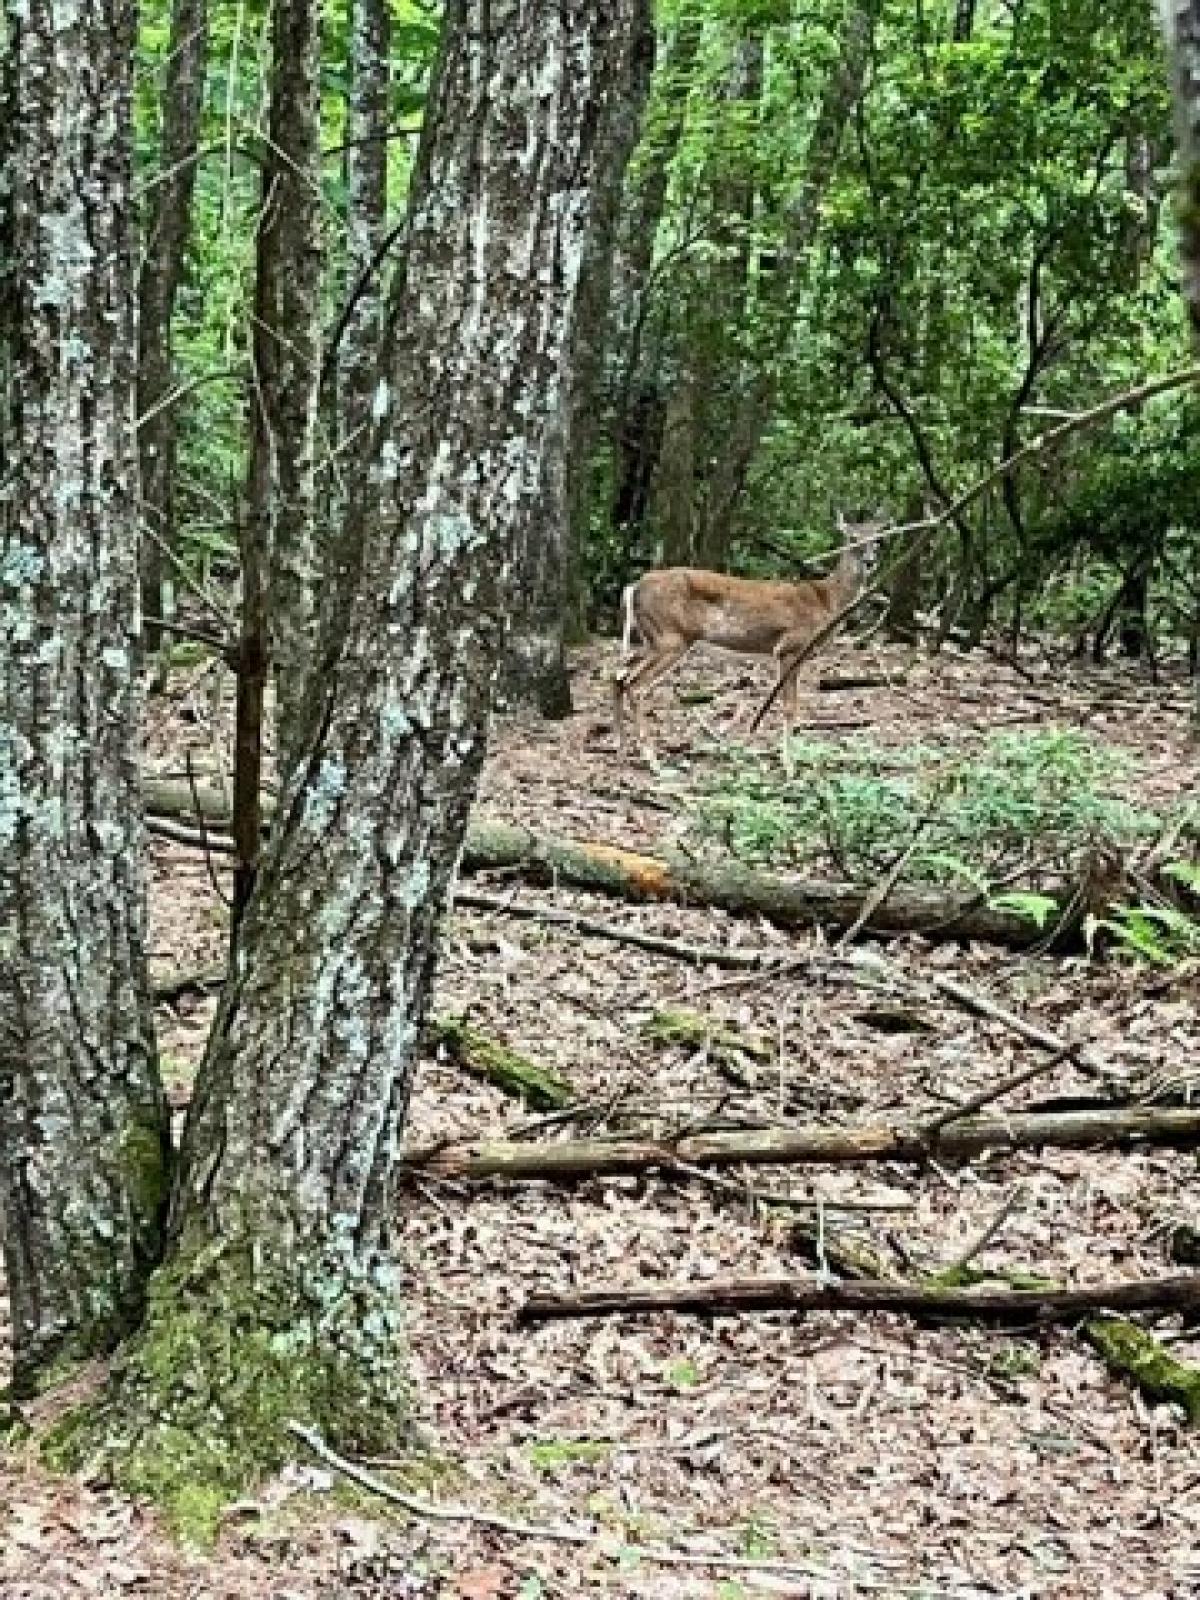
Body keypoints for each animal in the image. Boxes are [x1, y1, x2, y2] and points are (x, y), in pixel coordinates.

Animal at [611, 518, 883, 755]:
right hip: (671, 637)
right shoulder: (790, 647)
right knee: (635, 684)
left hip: (651, 639)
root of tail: (633, 587)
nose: (870, 561)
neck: (827, 601)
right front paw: (789, 765)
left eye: (878, 540)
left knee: (619, 677)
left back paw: (621, 747)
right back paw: (650, 757)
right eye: (852, 538)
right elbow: (790, 707)